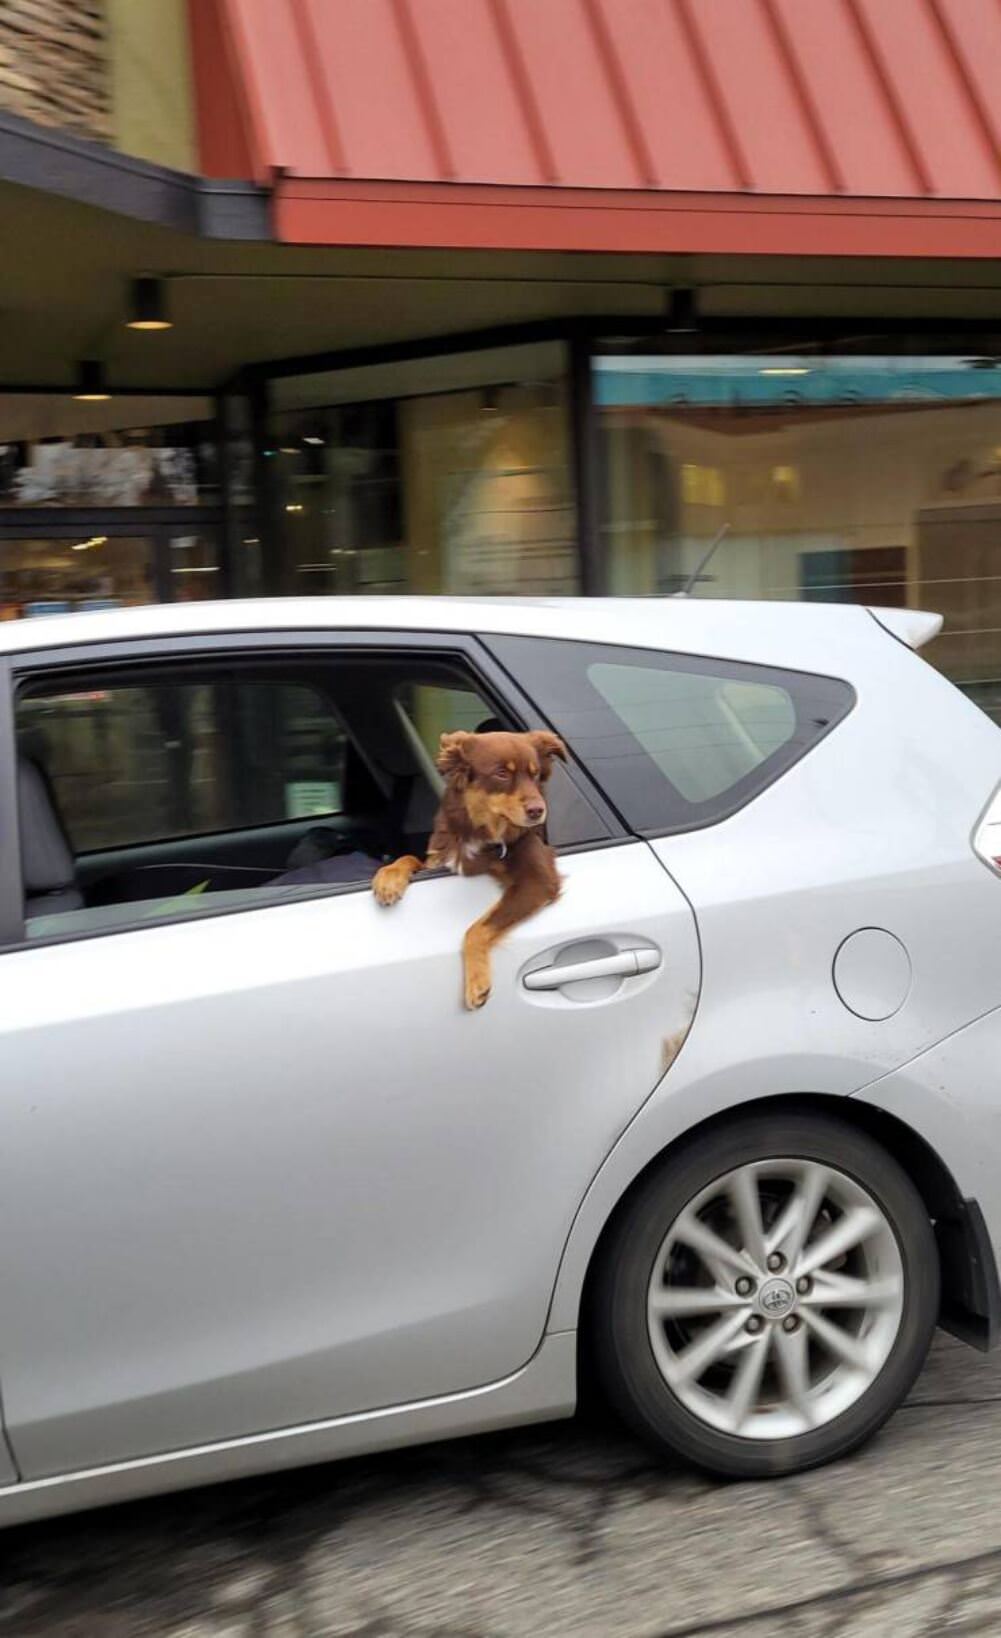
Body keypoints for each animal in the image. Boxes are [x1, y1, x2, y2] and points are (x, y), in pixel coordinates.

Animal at [372, 729, 567, 1010]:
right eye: (501, 773)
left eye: (536, 774)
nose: (537, 811)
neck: (480, 832)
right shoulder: (440, 861)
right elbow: (408, 858)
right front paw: (388, 879)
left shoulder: (538, 881)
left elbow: (477, 928)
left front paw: (477, 981)